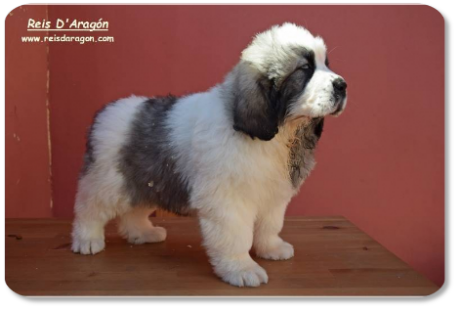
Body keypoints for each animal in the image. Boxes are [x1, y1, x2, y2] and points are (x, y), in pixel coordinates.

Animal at [71, 23, 344, 288]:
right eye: (305, 68)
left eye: (327, 64)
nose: (342, 85)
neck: (280, 132)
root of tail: (105, 111)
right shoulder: (228, 199)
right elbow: (236, 236)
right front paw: (242, 268)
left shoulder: (272, 195)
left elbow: (269, 224)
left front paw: (271, 248)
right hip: (109, 179)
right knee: (89, 207)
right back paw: (87, 239)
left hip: (150, 179)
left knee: (133, 210)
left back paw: (142, 233)